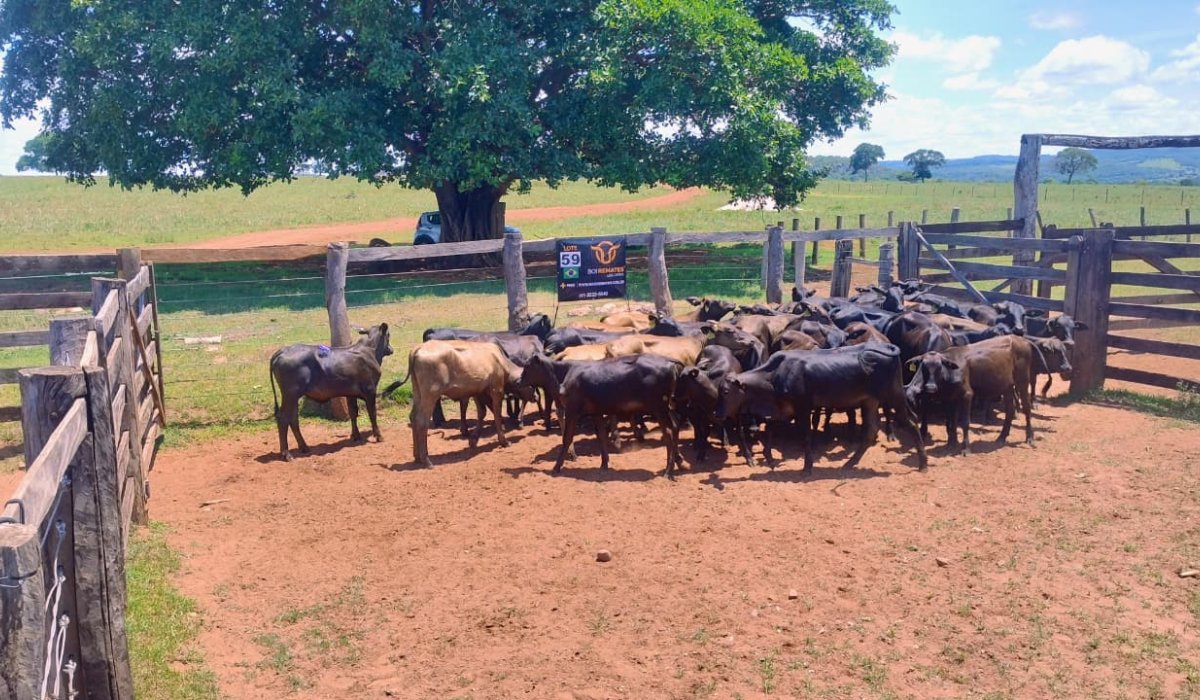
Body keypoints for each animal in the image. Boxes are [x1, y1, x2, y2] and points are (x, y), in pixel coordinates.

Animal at [269, 324, 394, 462]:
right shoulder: (370, 390)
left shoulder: (350, 393)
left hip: (293, 397)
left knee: (293, 419)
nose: (391, 349)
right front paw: (379, 436)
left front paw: (355, 436)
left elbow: (353, 413)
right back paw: (287, 454)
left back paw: (304, 447)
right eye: (388, 335)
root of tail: (283, 350)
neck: (370, 350)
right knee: (283, 418)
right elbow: (372, 414)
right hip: (290, 394)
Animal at [383, 339, 523, 467]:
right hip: (430, 395)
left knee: (413, 417)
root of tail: (419, 348)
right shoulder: (496, 389)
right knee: (421, 420)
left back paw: (417, 457)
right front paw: (504, 441)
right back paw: (426, 460)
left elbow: (482, 413)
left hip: (417, 392)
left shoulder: (477, 391)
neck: (499, 358)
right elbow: (496, 414)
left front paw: (474, 439)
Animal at [552, 354, 682, 477]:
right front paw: (604, 464)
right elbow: (602, 436)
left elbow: (567, 438)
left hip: (659, 408)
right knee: (675, 426)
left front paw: (556, 467)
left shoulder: (572, 410)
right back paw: (676, 463)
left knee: (669, 432)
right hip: (665, 408)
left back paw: (668, 472)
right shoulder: (596, 412)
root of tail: (667, 360)